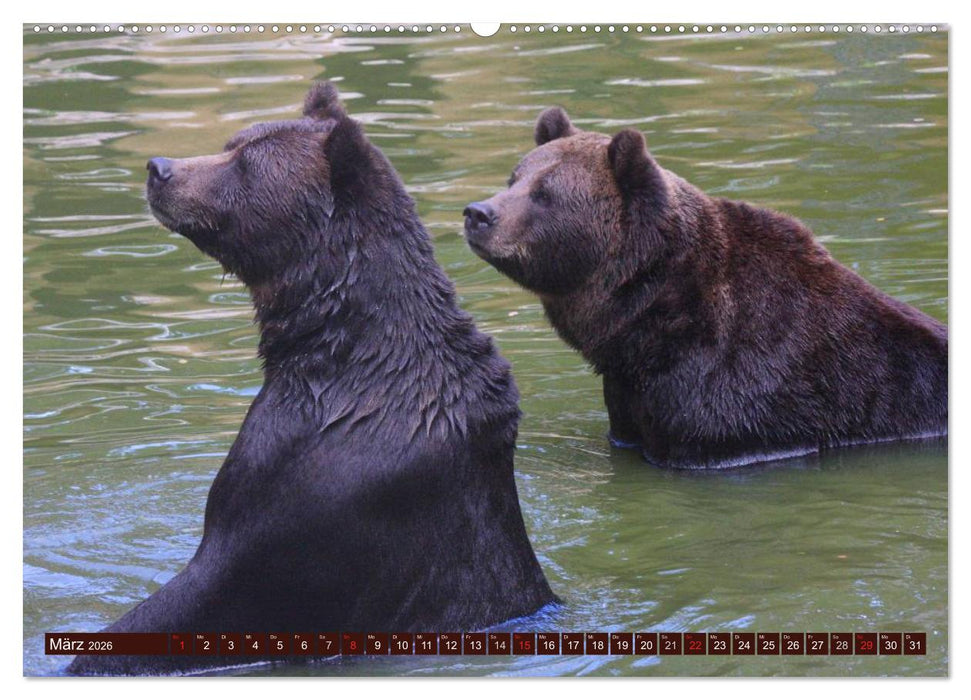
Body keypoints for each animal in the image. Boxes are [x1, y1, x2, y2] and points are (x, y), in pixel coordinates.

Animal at [66, 83, 556, 675]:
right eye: (232, 143)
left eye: (245, 163)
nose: (160, 168)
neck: (340, 353)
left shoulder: (308, 491)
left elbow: (205, 590)